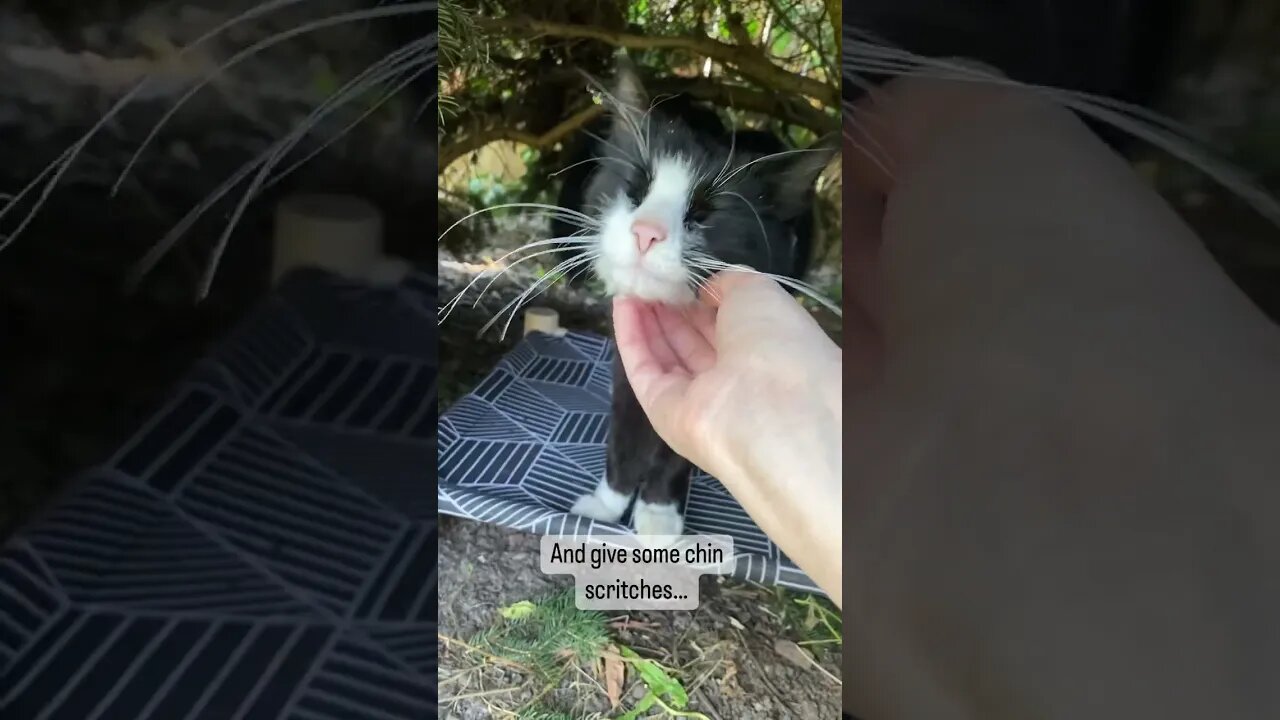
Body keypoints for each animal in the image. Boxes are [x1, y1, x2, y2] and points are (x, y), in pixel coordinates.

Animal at [552, 63, 834, 538]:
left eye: (704, 214)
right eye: (634, 189)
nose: (646, 232)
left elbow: (672, 447)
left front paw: (658, 514)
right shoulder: (626, 357)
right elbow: (623, 428)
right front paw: (607, 505)